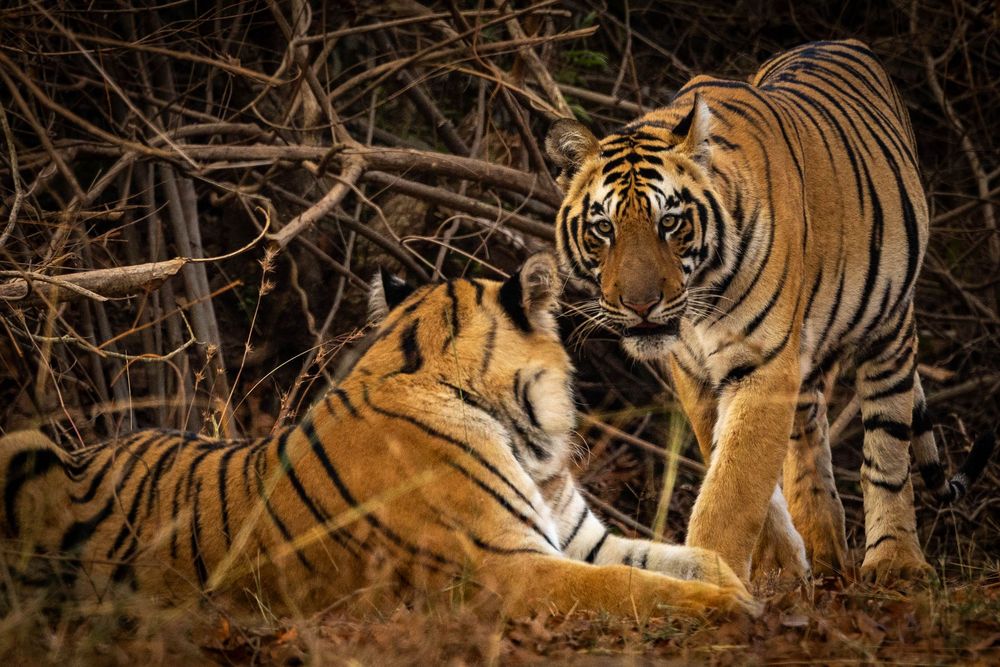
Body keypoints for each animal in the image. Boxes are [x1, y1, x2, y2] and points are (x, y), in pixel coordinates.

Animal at [0, 253, 756, 619]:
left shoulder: (578, 541)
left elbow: (696, 558)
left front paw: (746, 590)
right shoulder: (511, 568)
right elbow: (634, 589)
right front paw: (728, 609)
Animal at [544, 40, 994, 585]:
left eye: (669, 222)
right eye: (604, 228)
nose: (641, 304)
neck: (699, 303)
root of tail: (842, 42)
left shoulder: (761, 363)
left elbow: (733, 487)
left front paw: (715, 577)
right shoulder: (697, 374)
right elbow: (742, 472)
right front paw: (779, 570)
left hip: (889, 328)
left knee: (887, 449)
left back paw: (894, 561)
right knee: (808, 442)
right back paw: (824, 551)